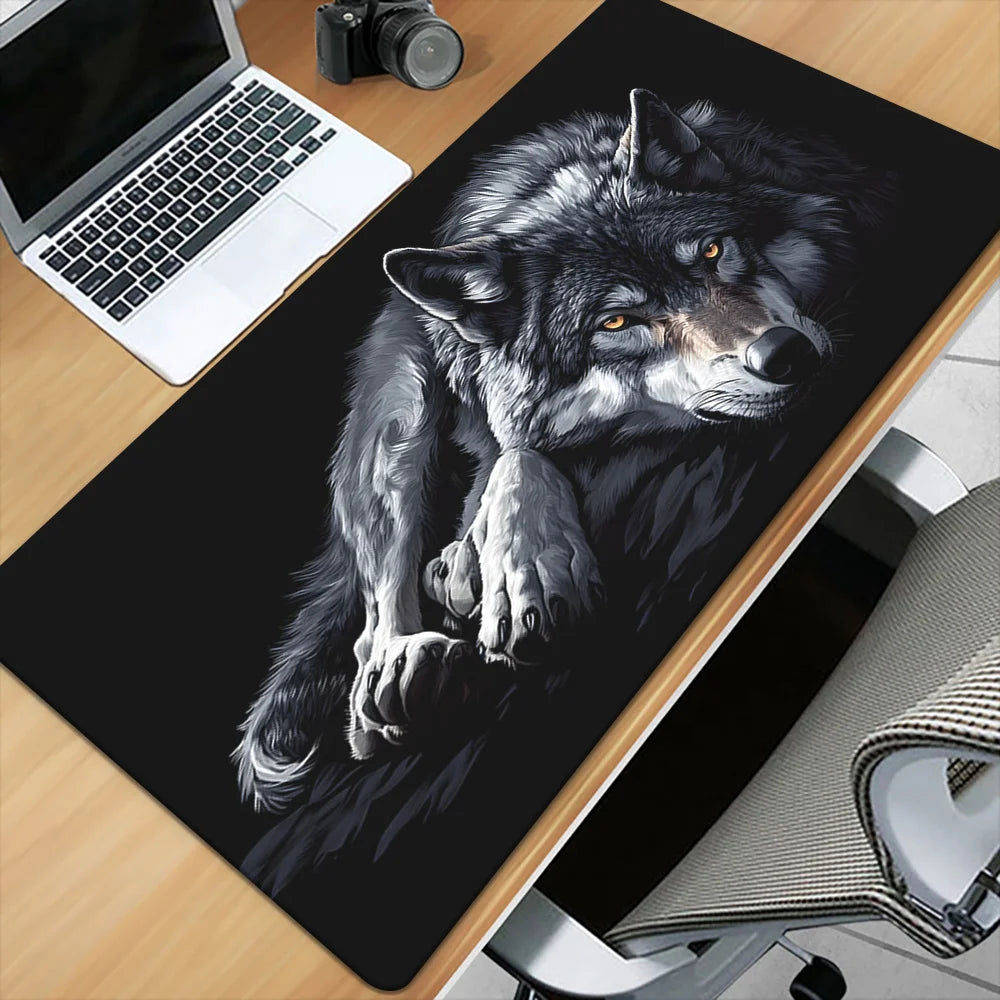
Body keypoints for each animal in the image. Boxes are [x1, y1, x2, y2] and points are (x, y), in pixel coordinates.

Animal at [234, 88, 895, 813]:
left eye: (715, 251)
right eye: (616, 322)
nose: (784, 355)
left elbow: (505, 468)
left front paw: (494, 564)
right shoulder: (490, 419)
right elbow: (517, 452)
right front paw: (527, 574)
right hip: (401, 414)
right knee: (373, 623)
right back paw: (406, 660)